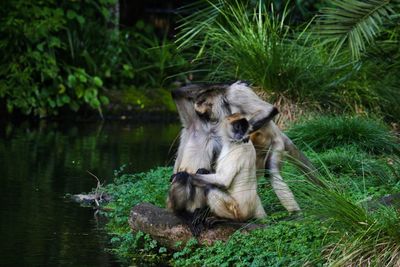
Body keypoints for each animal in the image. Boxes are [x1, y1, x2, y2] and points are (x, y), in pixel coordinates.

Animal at [170, 81, 320, 214]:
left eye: (205, 112)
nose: (205, 117)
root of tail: (278, 133)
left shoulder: (235, 94)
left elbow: (268, 110)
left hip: (276, 144)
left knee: (270, 171)